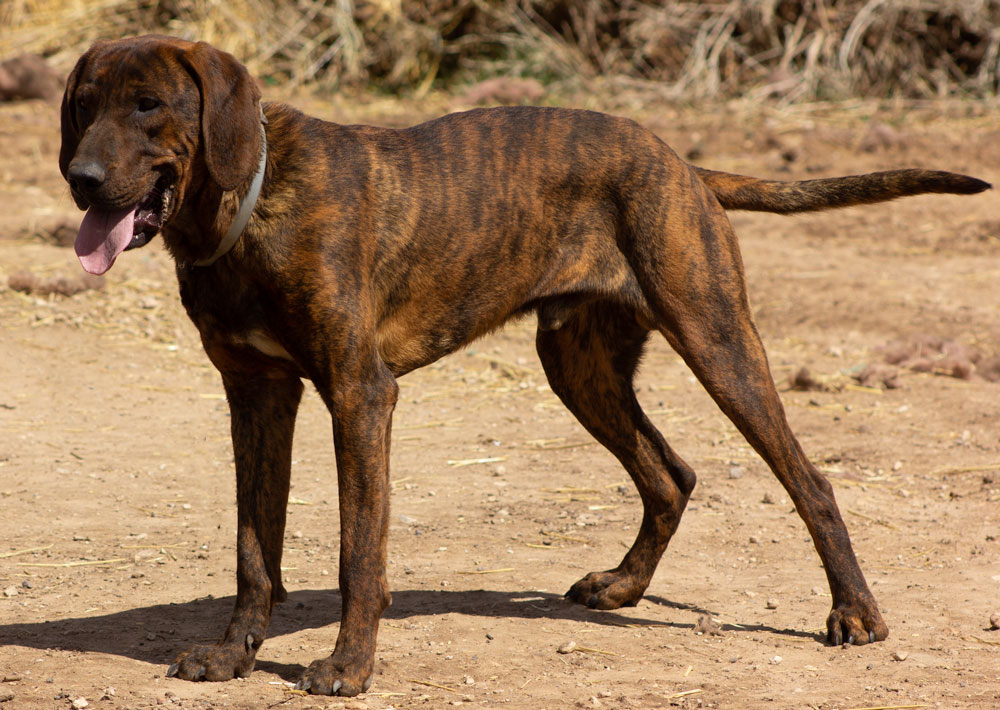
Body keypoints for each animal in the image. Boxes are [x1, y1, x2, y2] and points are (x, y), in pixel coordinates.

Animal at [62, 36, 992, 700]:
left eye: (149, 105)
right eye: (83, 106)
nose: (81, 178)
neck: (250, 201)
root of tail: (682, 163)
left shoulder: (360, 395)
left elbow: (360, 550)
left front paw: (350, 667)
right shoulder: (255, 395)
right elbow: (255, 547)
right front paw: (234, 652)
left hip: (716, 338)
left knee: (808, 480)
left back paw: (854, 613)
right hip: (577, 362)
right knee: (672, 473)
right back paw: (623, 585)